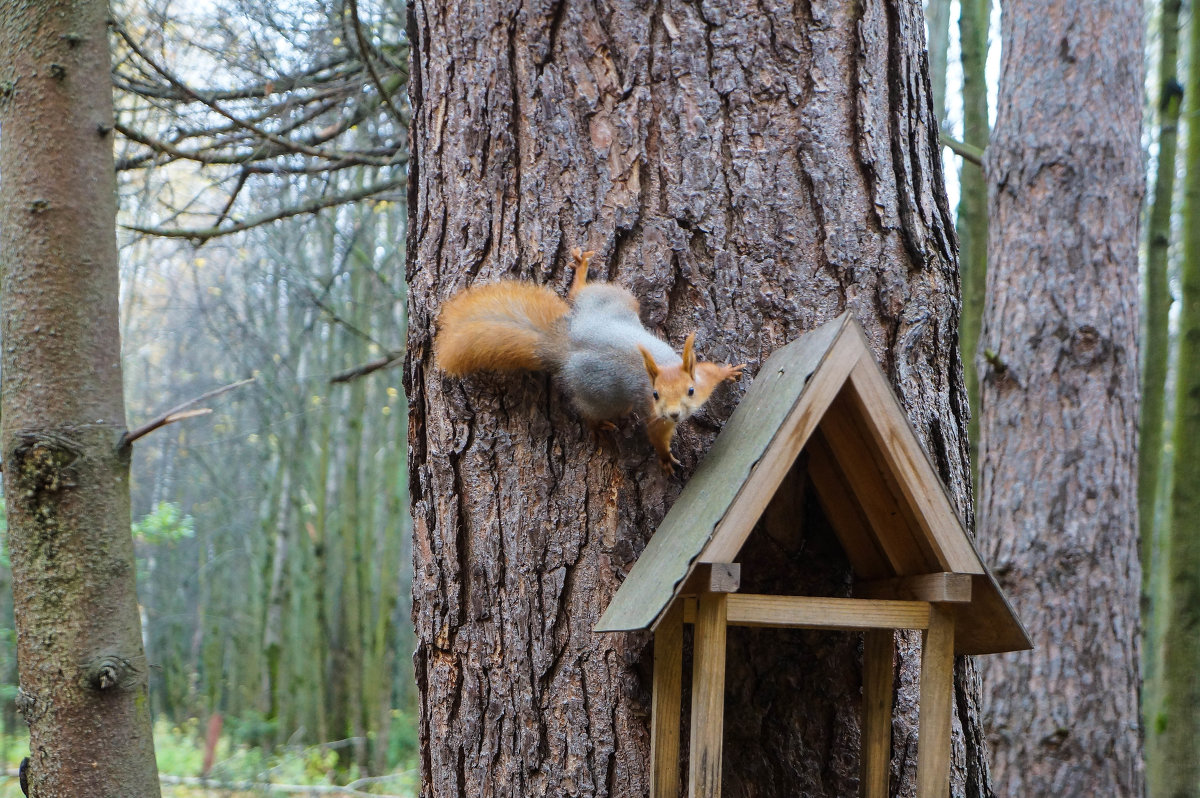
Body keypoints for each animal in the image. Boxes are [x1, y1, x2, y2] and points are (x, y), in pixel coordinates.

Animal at [436, 247, 744, 472]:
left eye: (690, 390)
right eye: (655, 395)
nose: (673, 413)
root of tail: (568, 344)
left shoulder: (702, 379)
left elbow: (711, 371)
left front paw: (729, 371)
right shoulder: (653, 415)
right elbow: (656, 436)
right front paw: (666, 460)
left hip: (610, 299)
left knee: (579, 294)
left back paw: (581, 272)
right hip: (599, 393)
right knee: (588, 410)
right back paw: (599, 426)